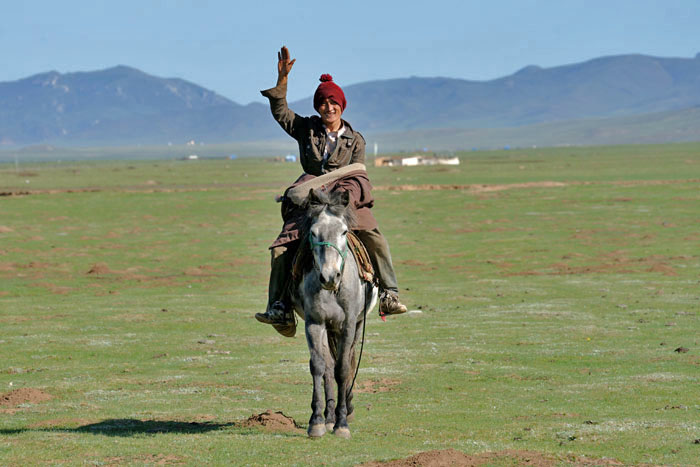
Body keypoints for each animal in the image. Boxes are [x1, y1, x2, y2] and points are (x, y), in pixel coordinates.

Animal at [290, 188, 378, 439]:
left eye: (344, 231)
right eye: (313, 232)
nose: (329, 276)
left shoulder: (348, 324)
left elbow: (343, 369)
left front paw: (342, 424)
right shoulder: (314, 322)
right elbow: (320, 367)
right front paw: (317, 422)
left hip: (355, 325)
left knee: (348, 360)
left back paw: (345, 408)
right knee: (328, 366)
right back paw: (329, 417)